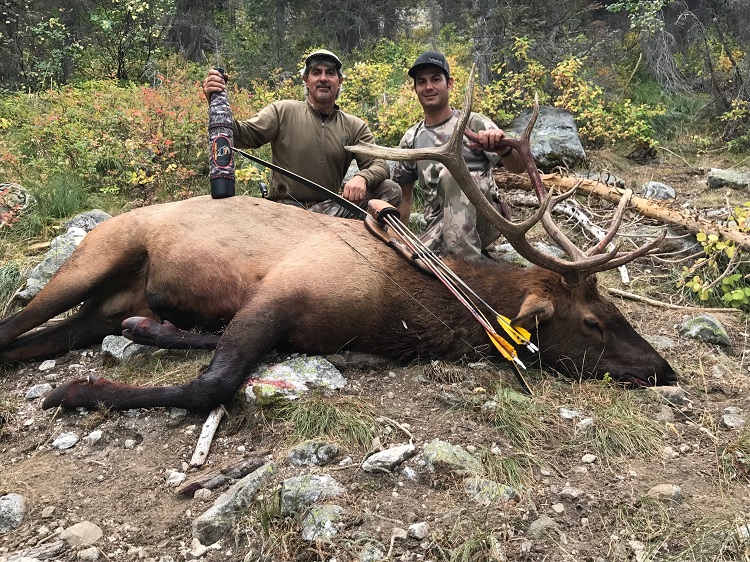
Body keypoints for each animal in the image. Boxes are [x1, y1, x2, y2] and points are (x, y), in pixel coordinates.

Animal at [0, 80, 676, 411]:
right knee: (15, 322)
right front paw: (77, 392)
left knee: (52, 334)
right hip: (98, 254)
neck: (395, 309)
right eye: (593, 322)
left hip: (106, 302)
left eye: (619, 311)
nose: (664, 370)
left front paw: (150, 332)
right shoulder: (280, 292)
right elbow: (212, 384)